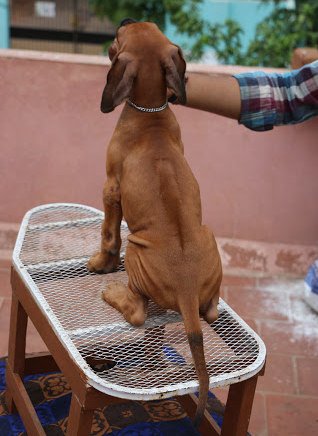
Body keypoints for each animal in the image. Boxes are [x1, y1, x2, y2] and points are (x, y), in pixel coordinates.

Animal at [87, 19, 221, 426]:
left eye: (118, 38)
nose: (124, 20)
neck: (150, 113)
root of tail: (187, 292)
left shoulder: (111, 187)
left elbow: (108, 234)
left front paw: (102, 264)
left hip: (136, 252)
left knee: (137, 312)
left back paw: (115, 292)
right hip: (208, 236)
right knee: (211, 309)